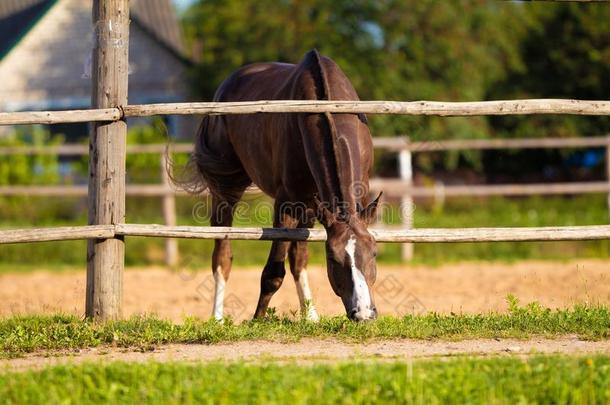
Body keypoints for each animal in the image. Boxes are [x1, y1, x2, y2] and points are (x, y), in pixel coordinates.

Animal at [183, 49, 378, 322]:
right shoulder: (286, 204)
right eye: (333, 259)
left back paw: (310, 315)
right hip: (227, 187)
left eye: (374, 253)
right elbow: (273, 273)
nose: (363, 313)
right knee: (222, 253)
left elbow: (298, 259)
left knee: (298, 258)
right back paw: (218, 318)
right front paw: (256, 320)